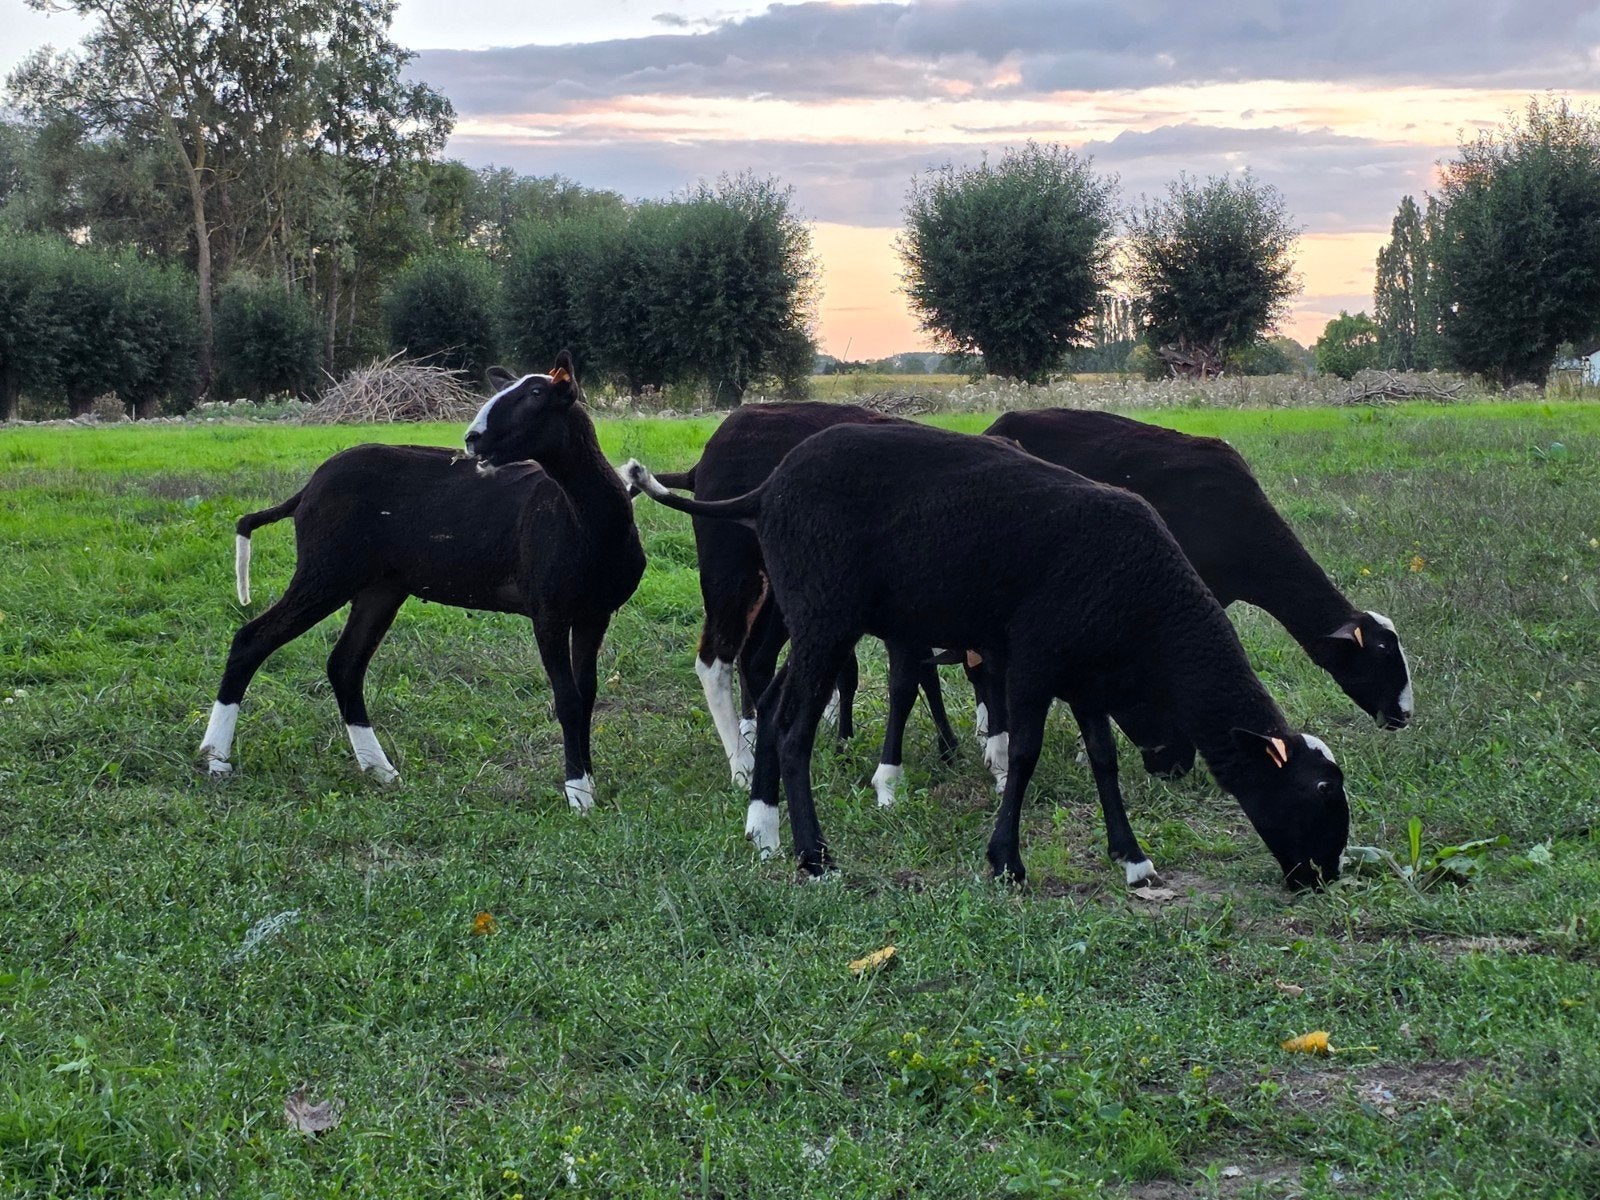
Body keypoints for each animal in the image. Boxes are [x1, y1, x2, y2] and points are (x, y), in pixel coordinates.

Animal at [197, 353, 644, 810]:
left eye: (537, 393)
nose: (473, 439)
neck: (584, 518)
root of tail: (307, 490)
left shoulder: (594, 613)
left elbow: (586, 695)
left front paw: (587, 783)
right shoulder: (548, 611)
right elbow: (567, 699)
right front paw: (578, 793)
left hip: (380, 587)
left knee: (344, 664)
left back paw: (380, 771)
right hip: (326, 570)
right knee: (252, 640)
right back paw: (216, 759)